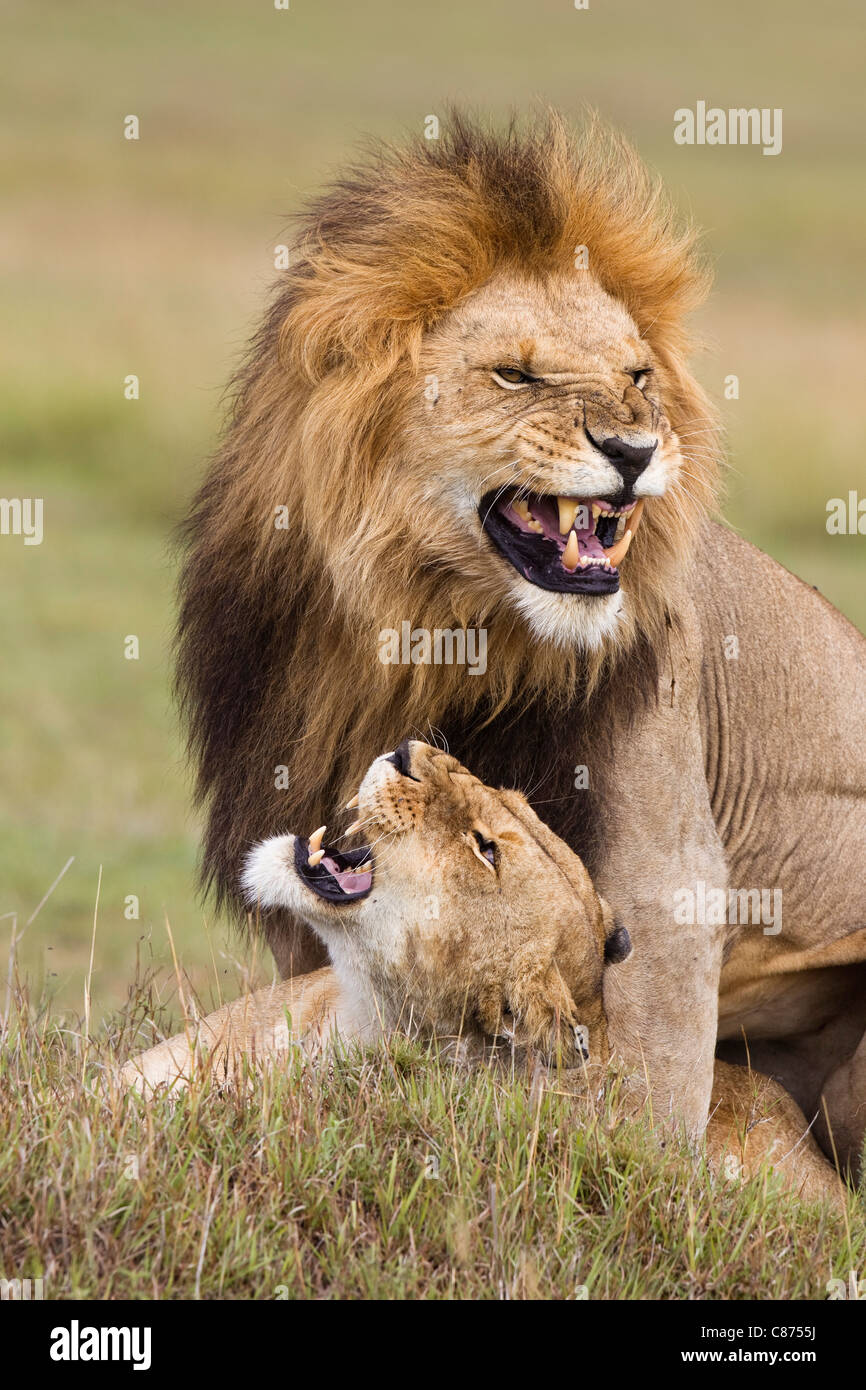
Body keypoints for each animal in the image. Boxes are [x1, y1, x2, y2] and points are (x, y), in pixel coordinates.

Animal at [176, 110, 866, 1160]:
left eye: (637, 377)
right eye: (517, 374)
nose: (635, 449)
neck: (424, 634)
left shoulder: (668, 890)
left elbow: (643, 1121)